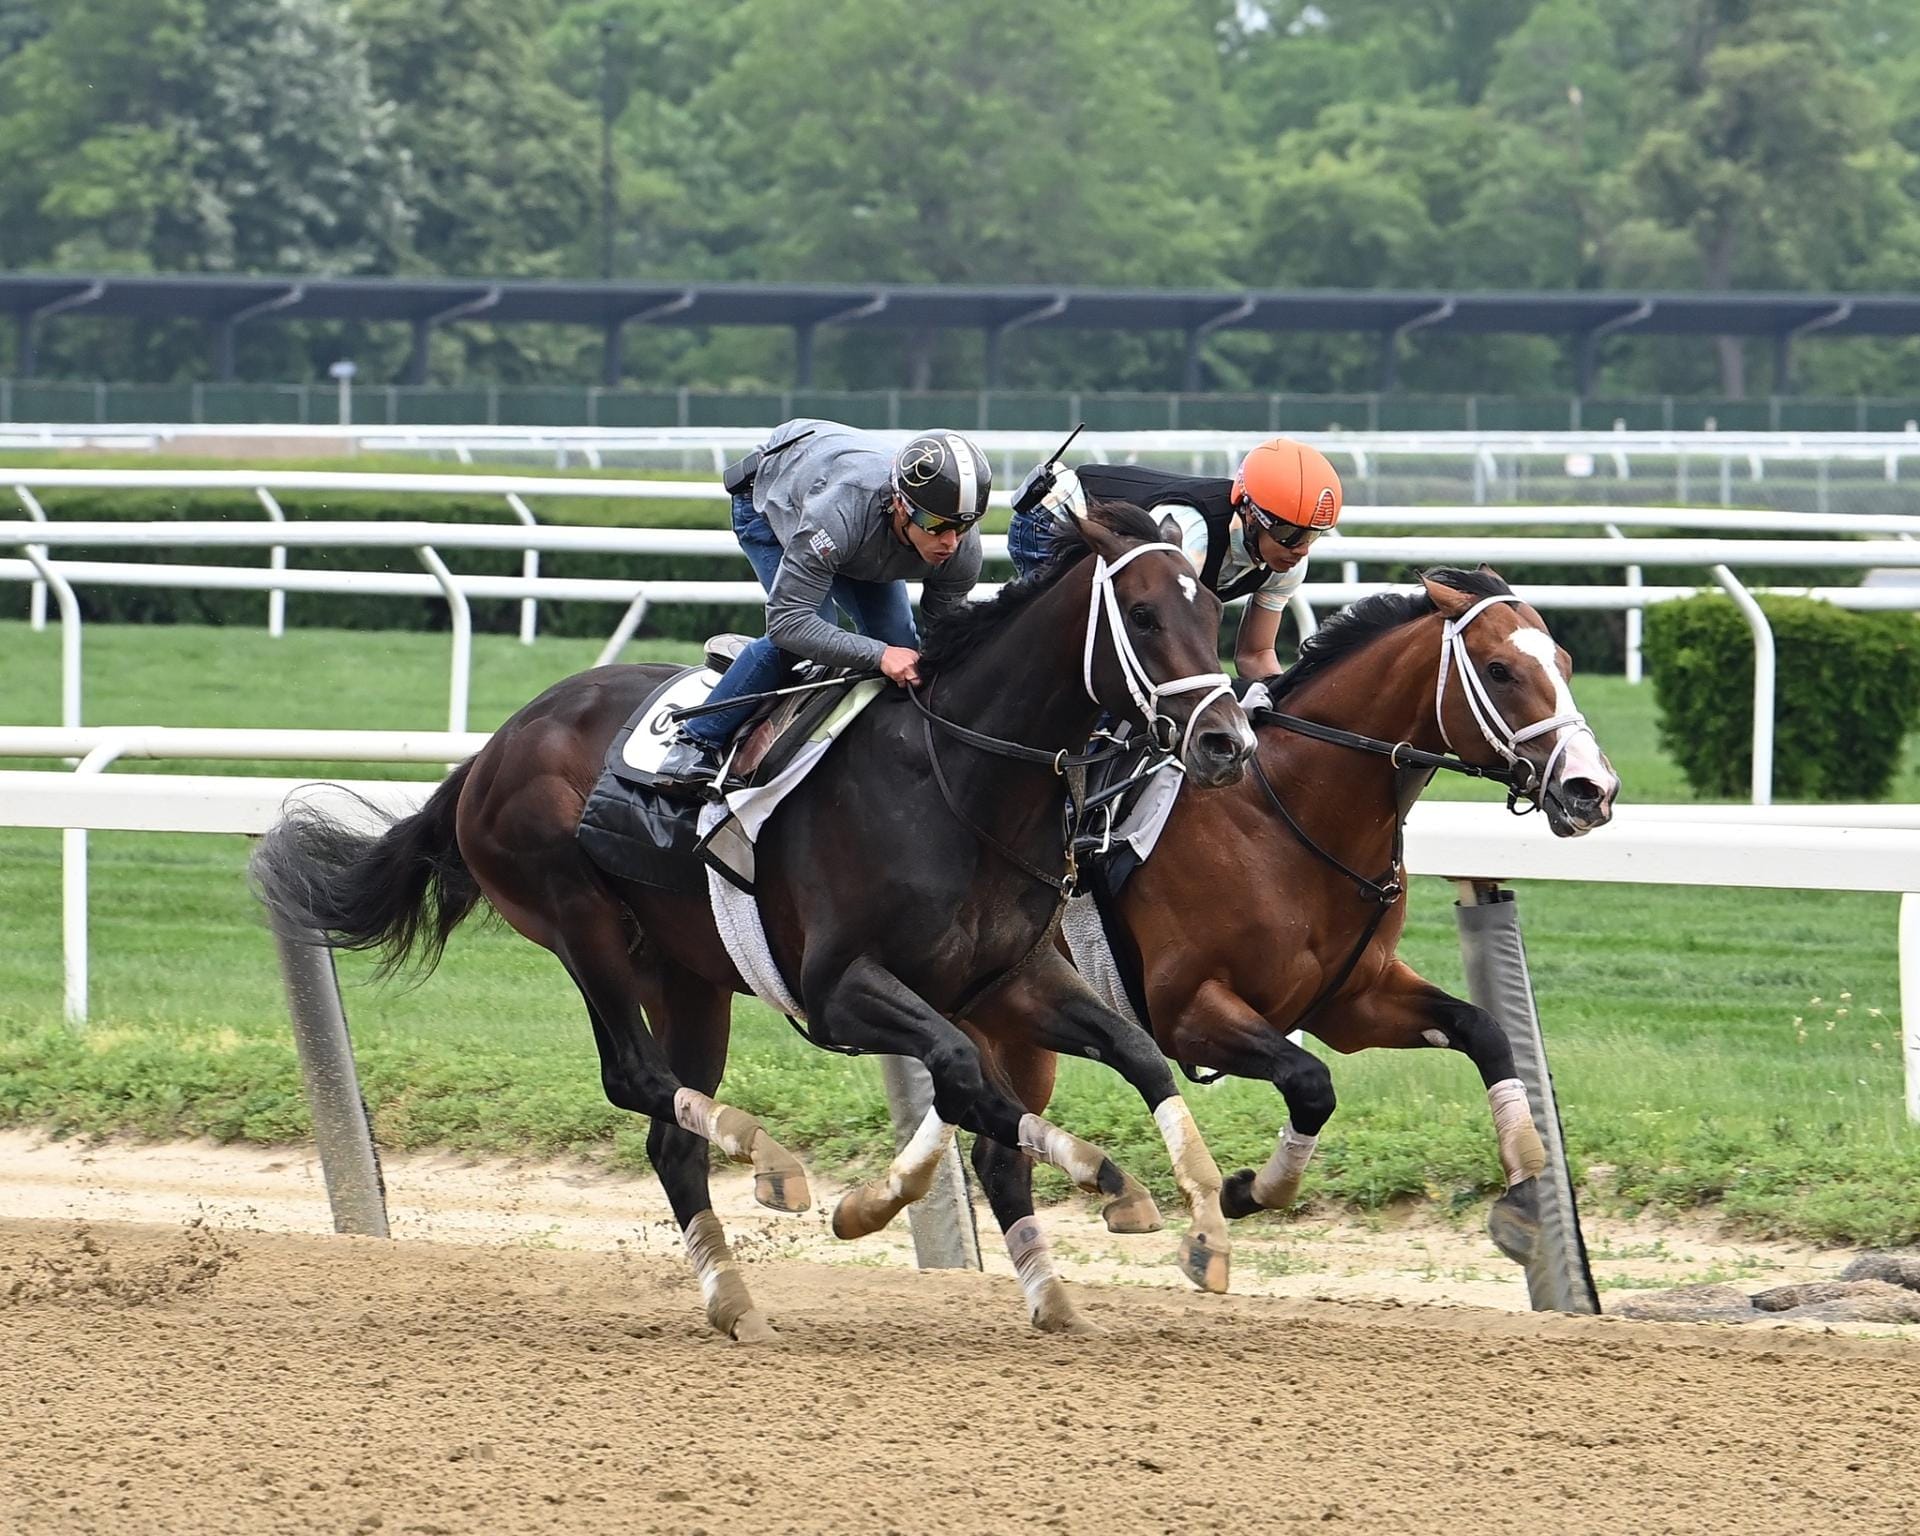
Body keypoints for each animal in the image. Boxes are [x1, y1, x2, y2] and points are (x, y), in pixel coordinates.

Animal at [247, 499, 1251, 1336]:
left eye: (1215, 612)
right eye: (1147, 617)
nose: (1226, 743)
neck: (955, 784)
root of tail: (493, 749)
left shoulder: (1011, 978)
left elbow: (1136, 1053)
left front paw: (1206, 1225)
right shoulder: (841, 991)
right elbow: (967, 1078)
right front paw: (1102, 1180)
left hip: (688, 976)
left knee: (667, 1135)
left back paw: (733, 1299)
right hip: (578, 920)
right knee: (636, 1079)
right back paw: (769, 1161)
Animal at [848, 564, 1612, 1328]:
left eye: (1565, 662)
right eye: (1500, 669)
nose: (1592, 789)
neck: (1287, 813)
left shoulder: (1354, 1002)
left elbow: (1484, 1031)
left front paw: (1522, 1197)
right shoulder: (1189, 1011)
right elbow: (1310, 1082)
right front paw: (1239, 1200)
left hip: (1013, 1016)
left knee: (995, 1149)